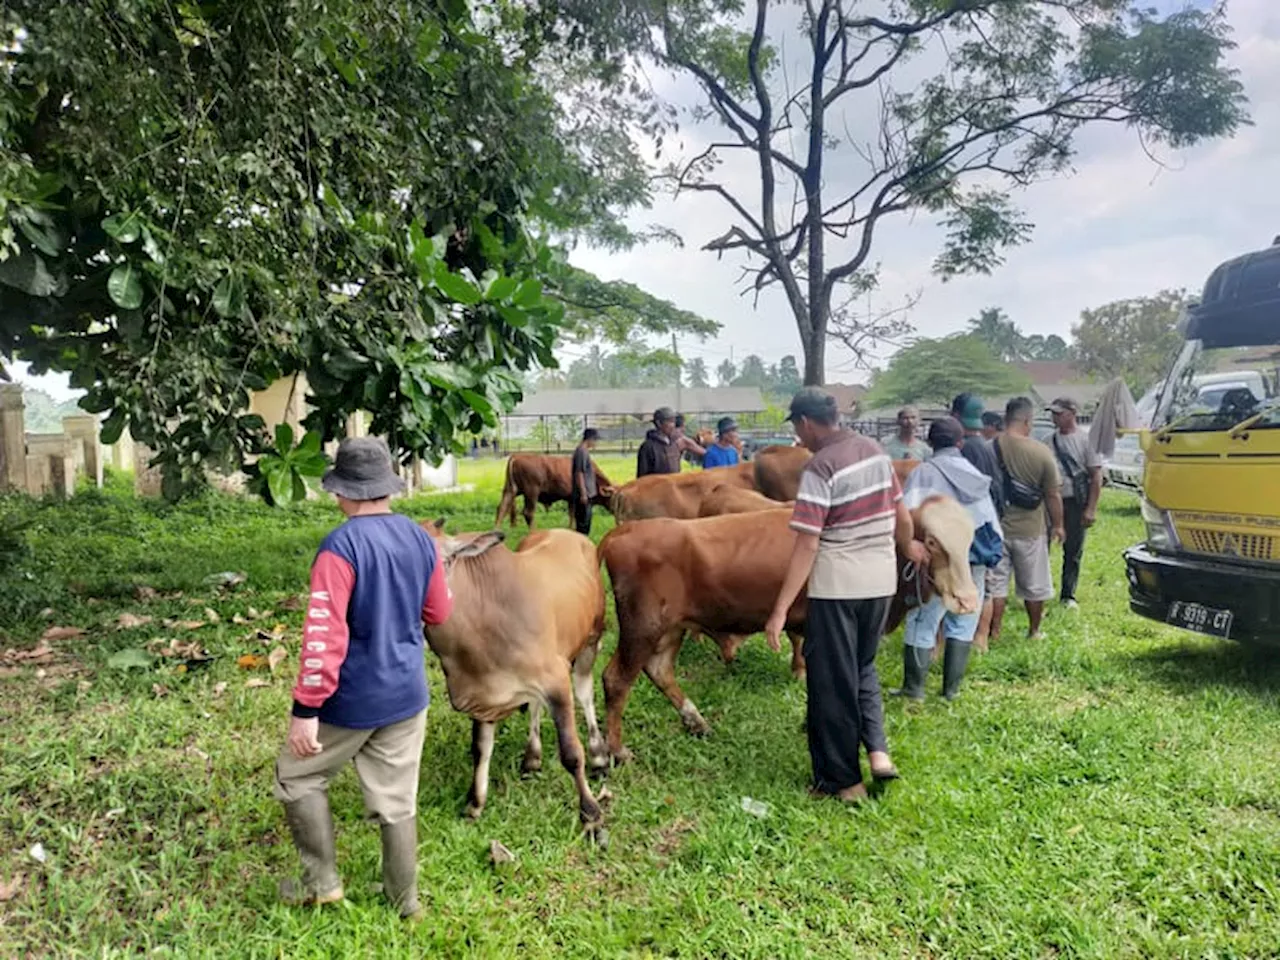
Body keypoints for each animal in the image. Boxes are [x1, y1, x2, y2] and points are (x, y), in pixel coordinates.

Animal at [414, 522, 604, 839]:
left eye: (445, 561)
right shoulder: (484, 696)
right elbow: (481, 749)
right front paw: (475, 803)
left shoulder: (556, 679)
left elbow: (571, 753)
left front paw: (591, 815)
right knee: (536, 706)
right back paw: (532, 758)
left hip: (591, 639)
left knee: (585, 694)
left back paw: (599, 755)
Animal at [593, 499, 972, 762]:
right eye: (933, 542)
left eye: (970, 541)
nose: (966, 599)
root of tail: (622, 532)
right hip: (643, 628)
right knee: (616, 680)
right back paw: (618, 750)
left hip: (670, 630)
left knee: (659, 671)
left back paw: (696, 721)